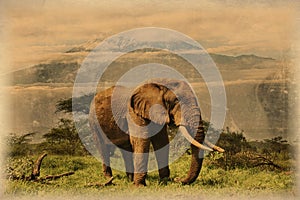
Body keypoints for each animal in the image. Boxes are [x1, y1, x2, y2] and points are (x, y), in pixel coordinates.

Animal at [88, 78, 224, 186]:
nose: (178, 179)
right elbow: (142, 141)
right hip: (94, 122)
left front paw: (165, 181)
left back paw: (130, 179)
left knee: (125, 149)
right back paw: (110, 179)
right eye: (176, 102)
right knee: (103, 148)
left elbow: (161, 141)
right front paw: (140, 186)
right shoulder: (133, 113)